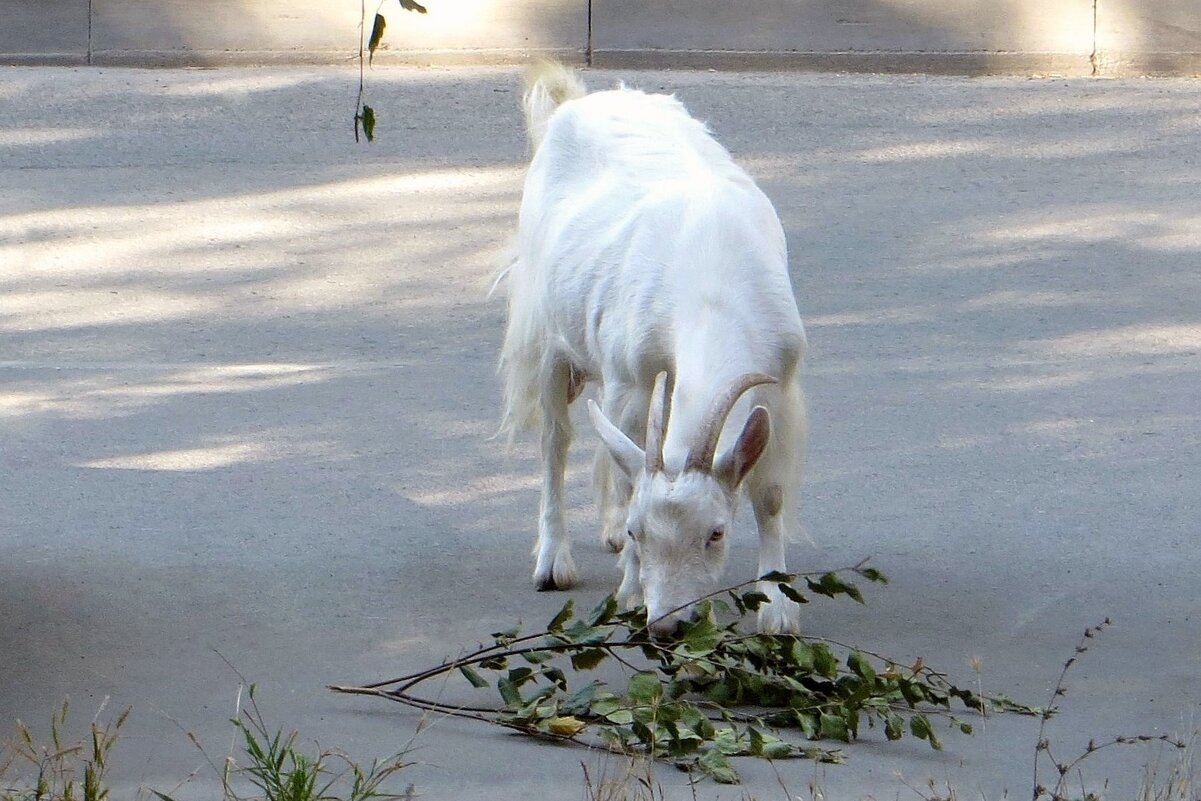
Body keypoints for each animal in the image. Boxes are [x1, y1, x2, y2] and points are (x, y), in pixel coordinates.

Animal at [497, 65, 807, 634]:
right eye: (641, 532)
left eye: (716, 532)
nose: (668, 625)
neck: (712, 278)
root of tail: (574, 102)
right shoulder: (634, 377)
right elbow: (628, 480)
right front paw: (631, 588)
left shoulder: (781, 380)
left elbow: (770, 494)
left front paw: (777, 608)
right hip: (547, 332)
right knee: (556, 440)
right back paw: (554, 562)